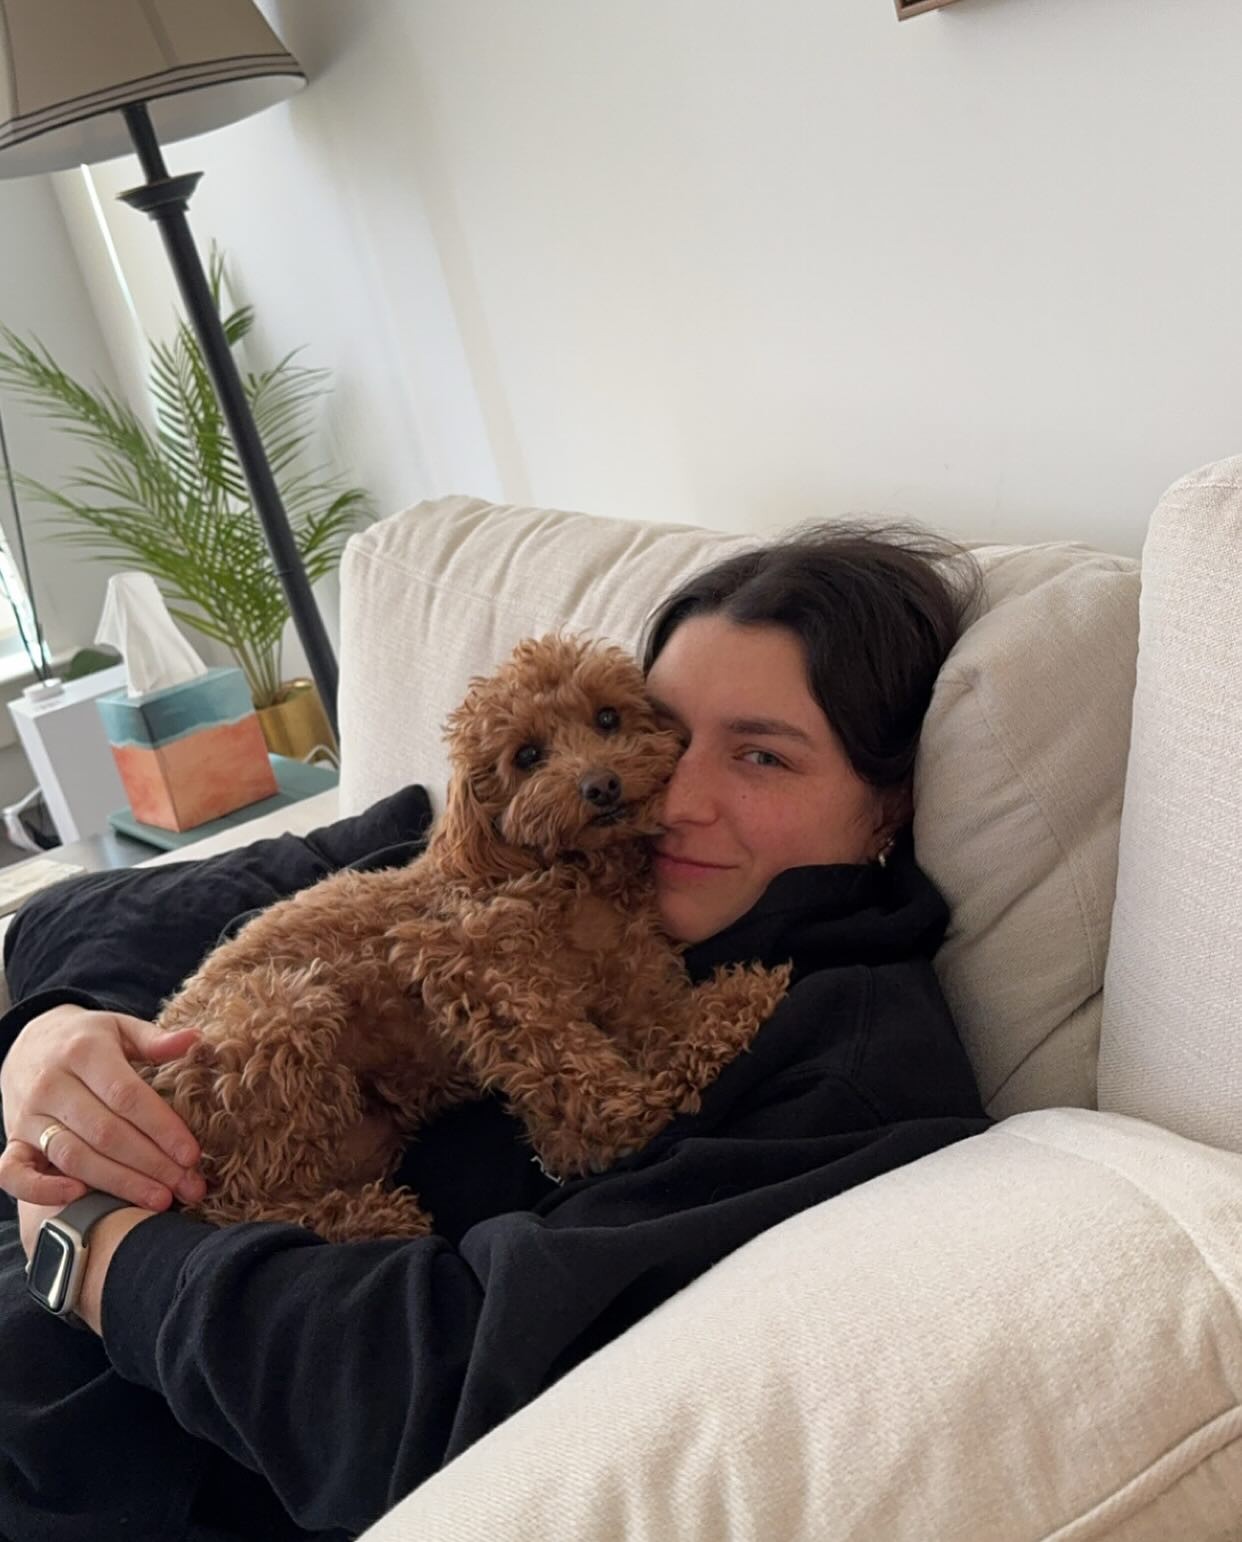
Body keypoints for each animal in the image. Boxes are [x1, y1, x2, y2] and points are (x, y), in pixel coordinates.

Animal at [147, 634, 790, 1242]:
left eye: (608, 718)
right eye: (527, 756)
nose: (601, 785)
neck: (570, 869)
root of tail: (159, 1080)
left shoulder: (634, 978)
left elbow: (671, 1023)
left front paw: (732, 1006)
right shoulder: (464, 960)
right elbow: (562, 1054)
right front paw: (610, 1121)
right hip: (279, 1015)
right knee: (246, 1205)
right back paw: (374, 1217)